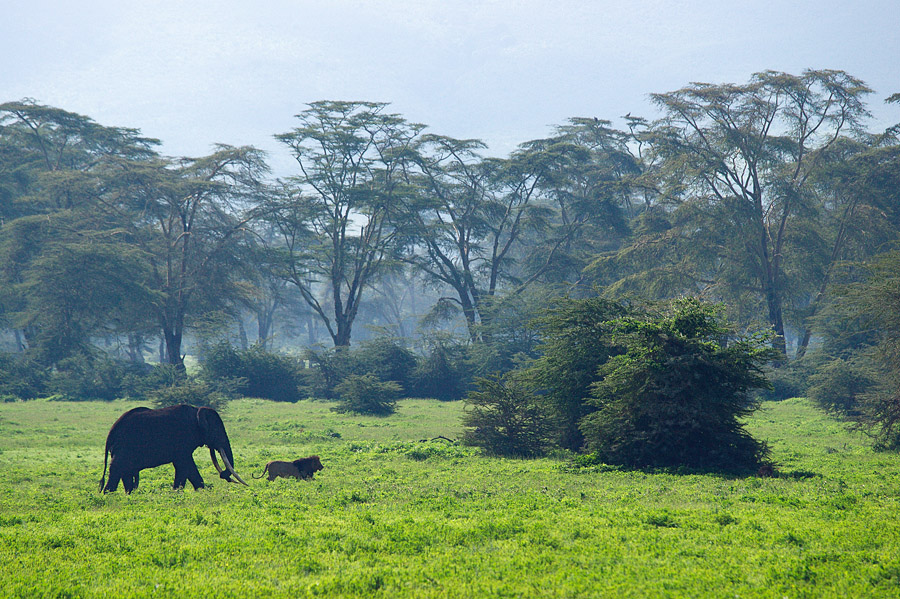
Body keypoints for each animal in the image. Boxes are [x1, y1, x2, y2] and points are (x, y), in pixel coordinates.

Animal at [98, 406, 250, 494]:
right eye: (217, 431)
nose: (224, 475)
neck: (197, 411)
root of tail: (111, 432)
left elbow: (188, 467)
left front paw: (200, 492)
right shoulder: (183, 439)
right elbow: (184, 464)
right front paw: (179, 493)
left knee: (125, 472)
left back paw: (128, 495)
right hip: (125, 447)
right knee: (117, 468)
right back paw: (109, 494)